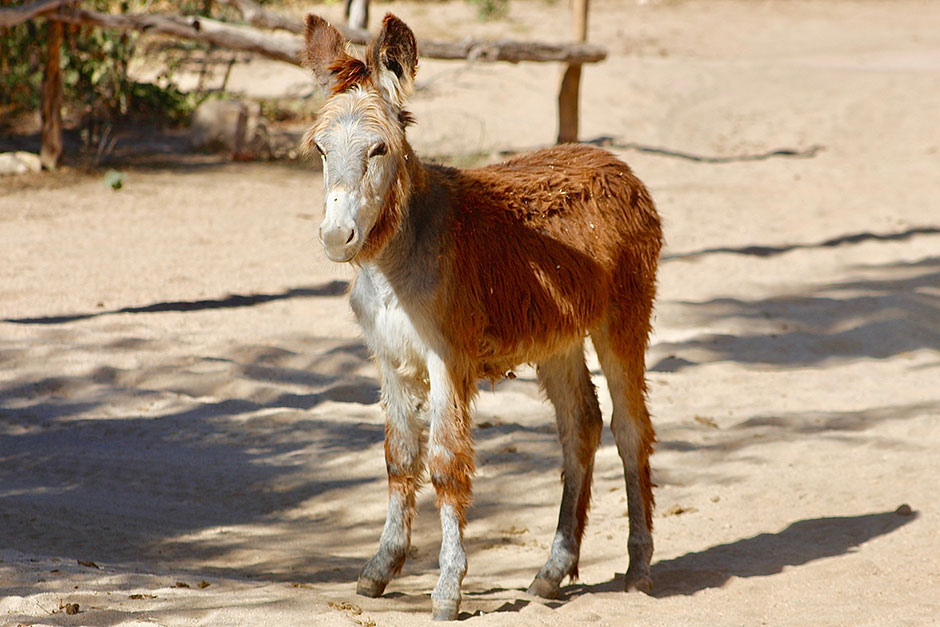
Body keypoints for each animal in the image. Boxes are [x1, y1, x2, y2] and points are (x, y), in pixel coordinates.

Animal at [304, 12, 664, 620]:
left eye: (378, 149)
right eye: (323, 151)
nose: (336, 238)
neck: (396, 260)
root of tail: (614, 162)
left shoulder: (448, 359)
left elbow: (447, 463)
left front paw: (447, 589)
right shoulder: (389, 359)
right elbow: (400, 456)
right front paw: (380, 568)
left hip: (624, 319)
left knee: (630, 427)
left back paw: (638, 568)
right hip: (558, 337)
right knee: (581, 425)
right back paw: (552, 572)